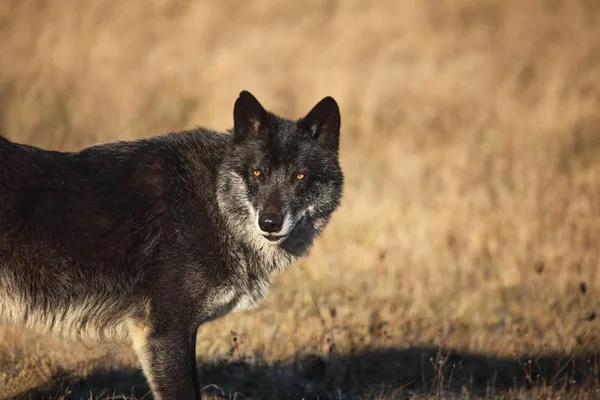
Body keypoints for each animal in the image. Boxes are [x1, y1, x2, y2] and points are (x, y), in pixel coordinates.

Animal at [0, 91, 342, 400]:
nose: (269, 223)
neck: (214, 203)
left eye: (300, 176)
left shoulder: (180, 332)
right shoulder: (166, 333)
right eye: (257, 172)